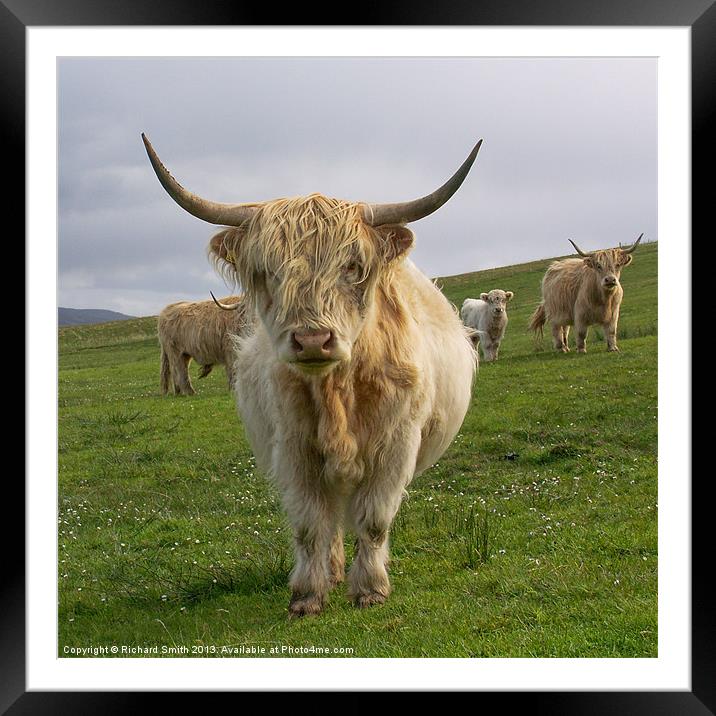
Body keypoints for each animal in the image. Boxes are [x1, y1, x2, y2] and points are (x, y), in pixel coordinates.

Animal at [141, 134, 482, 616]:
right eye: (269, 272)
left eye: (353, 267)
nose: (313, 341)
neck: (339, 391)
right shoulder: (295, 450)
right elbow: (308, 525)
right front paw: (307, 594)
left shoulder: (396, 447)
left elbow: (374, 520)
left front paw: (371, 589)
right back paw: (333, 570)